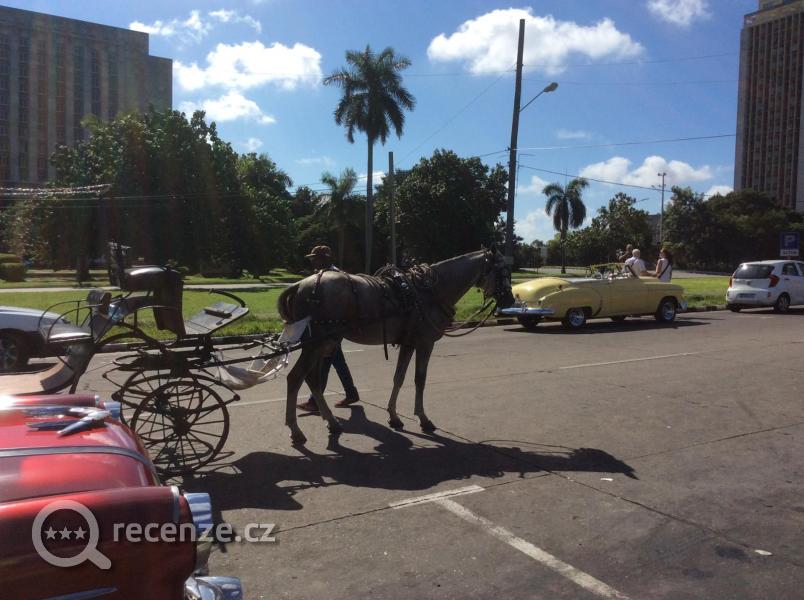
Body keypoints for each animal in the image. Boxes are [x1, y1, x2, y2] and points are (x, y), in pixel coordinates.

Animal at [276, 247, 514, 445]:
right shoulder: (425, 343)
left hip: (322, 344)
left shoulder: (409, 343)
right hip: (317, 344)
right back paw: (296, 430)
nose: (511, 300)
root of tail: (300, 284)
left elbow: (398, 378)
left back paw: (331, 422)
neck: (428, 292)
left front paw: (393, 416)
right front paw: (423, 418)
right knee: (296, 378)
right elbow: (420, 380)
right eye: (502, 271)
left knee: (312, 379)